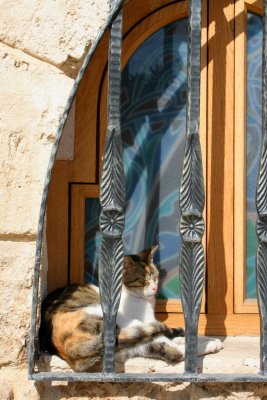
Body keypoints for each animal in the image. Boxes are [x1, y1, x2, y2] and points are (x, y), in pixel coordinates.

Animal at [40, 245, 224, 374]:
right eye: (143, 280)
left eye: (155, 276)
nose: (155, 288)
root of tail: (71, 349)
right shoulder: (137, 320)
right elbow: (168, 333)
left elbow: (174, 332)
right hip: (104, 316)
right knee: (174, 350)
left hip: (125, 347)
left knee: (164, 347)